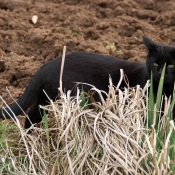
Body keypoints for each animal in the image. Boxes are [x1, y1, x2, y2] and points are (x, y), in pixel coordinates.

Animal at [0, 36, 174, 127]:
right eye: (156, 64)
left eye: (171, 65)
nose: (160, 73)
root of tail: (46, 66)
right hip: (67, 98)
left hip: (47, 97)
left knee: (32, 115)